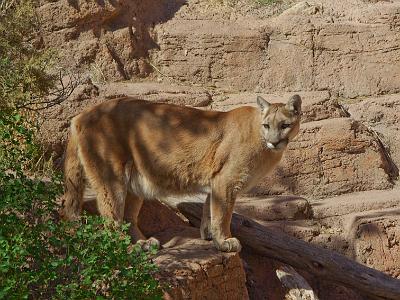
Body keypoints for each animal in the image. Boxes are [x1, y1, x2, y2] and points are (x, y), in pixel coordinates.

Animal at [61, 95, 300, 252]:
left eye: (285, 125)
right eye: (267, 125)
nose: (274, 141)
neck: (260, 139)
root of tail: (80, 115)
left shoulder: (217, 181)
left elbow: (210, 208)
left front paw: (209, 236)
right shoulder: (227, 180)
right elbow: (223, 213)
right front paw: (224, 241)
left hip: (134, 180)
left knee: (127, 217)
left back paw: (143, 244)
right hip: (112, 177)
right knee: (112, 219)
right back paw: (128, 249)